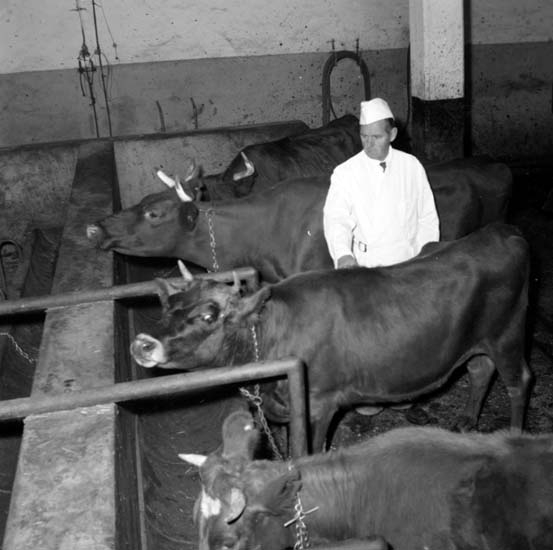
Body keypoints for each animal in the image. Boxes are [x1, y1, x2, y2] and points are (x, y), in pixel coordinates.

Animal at [130, 223, 532, 451]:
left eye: (209, 316)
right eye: (167, 306)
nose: (143, 343)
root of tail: (502, 232)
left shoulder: (320, 403)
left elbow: (309, 451)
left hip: (508, 335)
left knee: (520, 381)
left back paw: (514, 437)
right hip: (476, 340)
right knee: (480, 371)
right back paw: (466, 421)